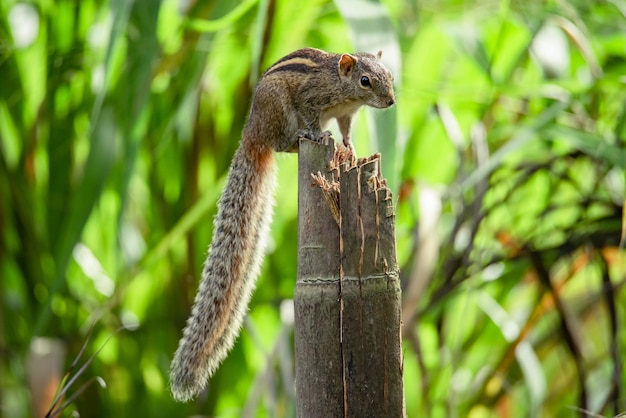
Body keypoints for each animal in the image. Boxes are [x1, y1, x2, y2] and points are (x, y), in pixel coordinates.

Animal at [169, 46, 394, 402]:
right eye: (365, 80)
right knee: (281, 144)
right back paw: (299, 137)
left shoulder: (347, 115)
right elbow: (314, 117)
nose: (391, 101)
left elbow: (346, 133)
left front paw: (351, 149)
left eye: (390, 76)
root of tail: (252, 131)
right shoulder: (311, 99)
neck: (342, 89)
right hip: (280, 112)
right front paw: (318, 134)